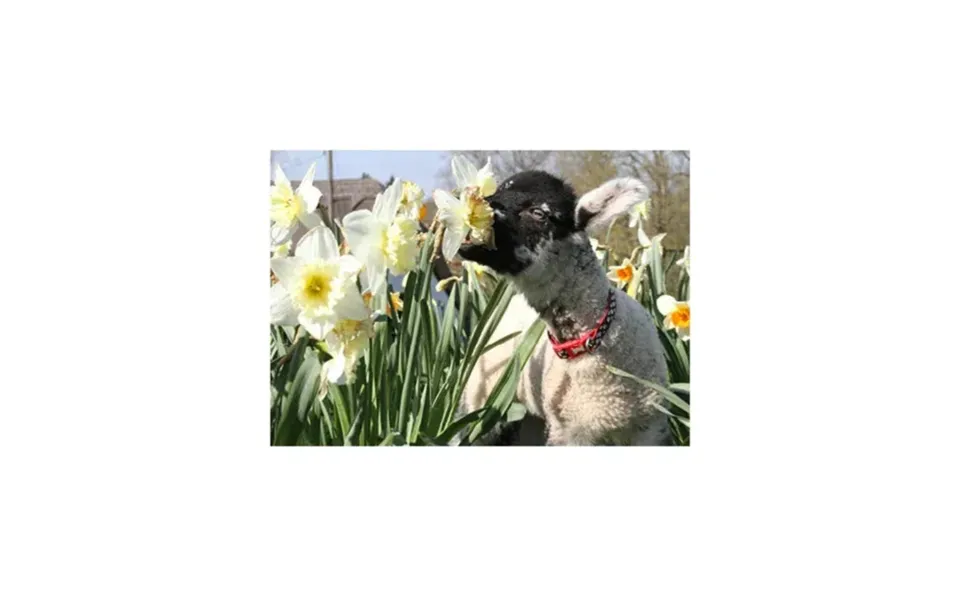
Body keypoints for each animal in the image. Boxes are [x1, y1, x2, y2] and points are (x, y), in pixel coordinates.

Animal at [459, 172, 670, 446]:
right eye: (498, 190)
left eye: (539, 212)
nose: (469, 206)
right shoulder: (569, 430)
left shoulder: (648, 429)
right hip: (482, 399)